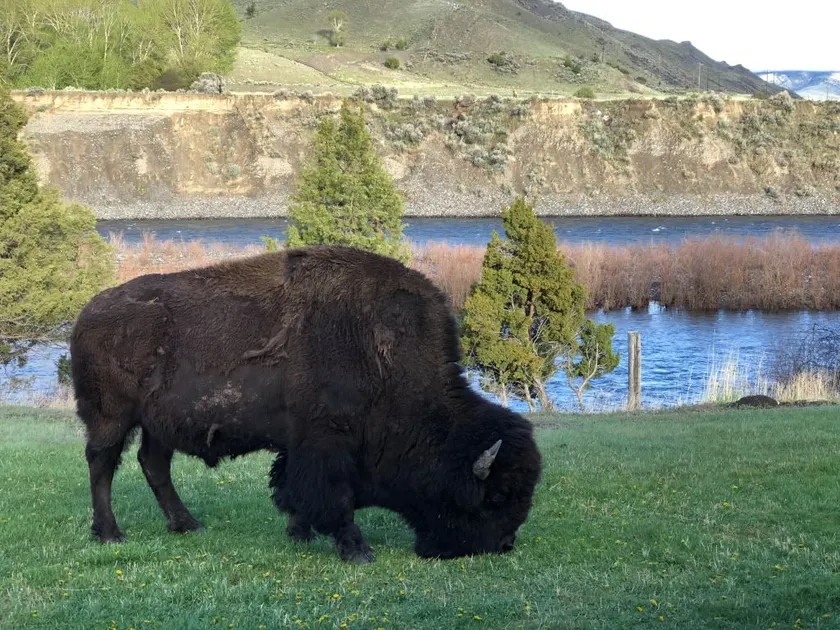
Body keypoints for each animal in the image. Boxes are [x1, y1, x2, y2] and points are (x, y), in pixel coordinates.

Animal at [70, 245, 542, 563]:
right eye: (497, 496)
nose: (503, 545)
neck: (390, 363)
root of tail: (87, 311)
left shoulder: (297, 444)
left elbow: (291, 486)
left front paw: (300, 533)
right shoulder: (326, 440)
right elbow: (332, 494)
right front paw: (356, 549)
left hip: (157, 424)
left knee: (153, 464)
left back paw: (187, 524)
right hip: (111, 417)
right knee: (102, 463)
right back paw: (110, 533)